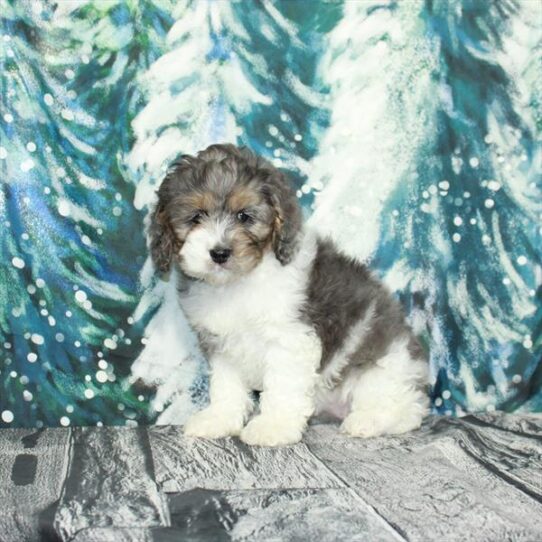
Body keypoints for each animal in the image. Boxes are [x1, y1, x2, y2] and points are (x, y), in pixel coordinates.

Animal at [149, 142, 430, 448]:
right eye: (196, 217)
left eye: (244, 216)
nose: (220, 252)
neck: (238, 282)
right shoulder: (222, 344)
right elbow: (226, 386)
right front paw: (219, 419)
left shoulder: (290, 339)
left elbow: (282, 386)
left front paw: (273, 426)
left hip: (380, 371)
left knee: (409, 409)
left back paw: (368, 420)